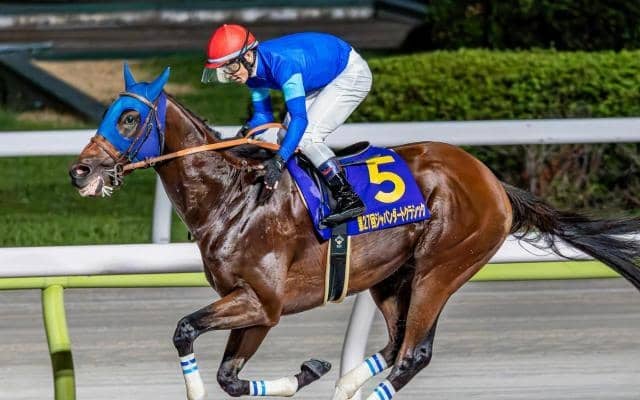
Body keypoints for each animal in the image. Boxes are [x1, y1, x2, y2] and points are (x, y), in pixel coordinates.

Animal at [69, 65, 640, 400]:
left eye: (128, 117)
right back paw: (345, 384)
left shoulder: (262, 301)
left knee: (413, 354)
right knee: (396, 344)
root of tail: (493, 181)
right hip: (392, 278)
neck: (233, 196)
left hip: (440, 269)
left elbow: (185, 330)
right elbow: (230, 377)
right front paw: (311, 370)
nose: (81, 171)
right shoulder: (252, 306)